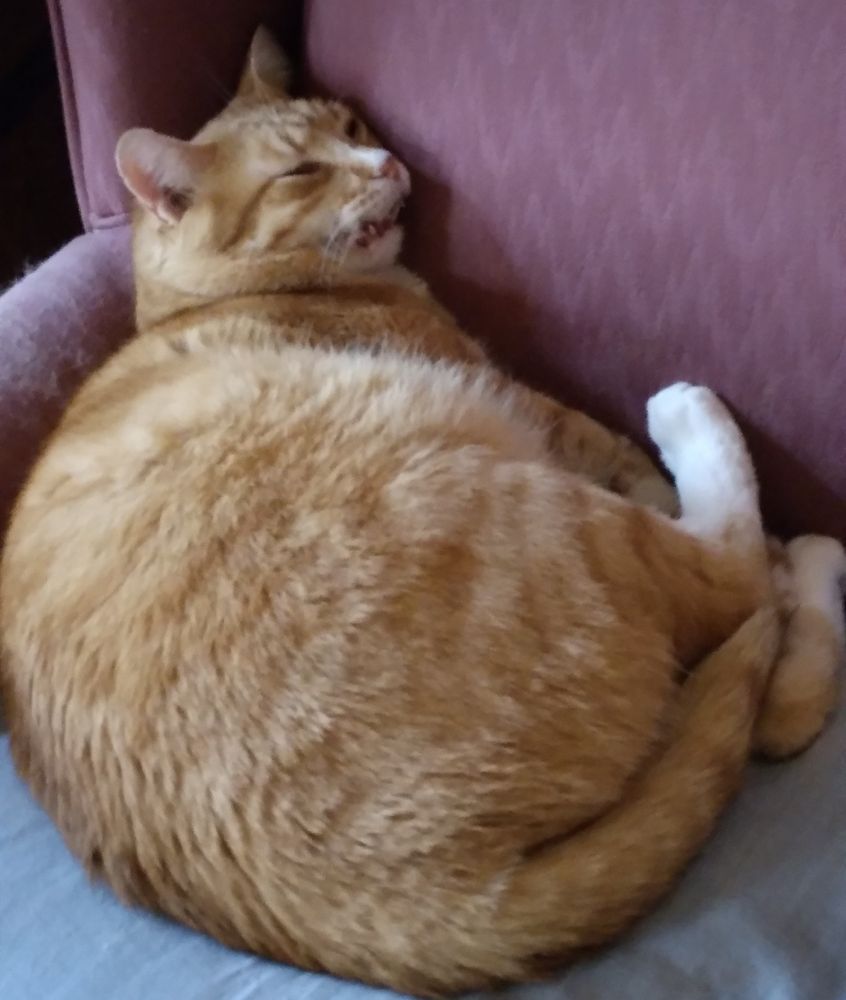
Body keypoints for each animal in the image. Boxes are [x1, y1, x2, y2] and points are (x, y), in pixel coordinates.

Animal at [1, 27, 846, 996]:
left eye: (351, 125)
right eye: (300, 173)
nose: (390, 160)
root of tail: (415, 917)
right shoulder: (525, 404)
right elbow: (633, 465)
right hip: (527, 509)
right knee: (743, 579)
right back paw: (732, 469)